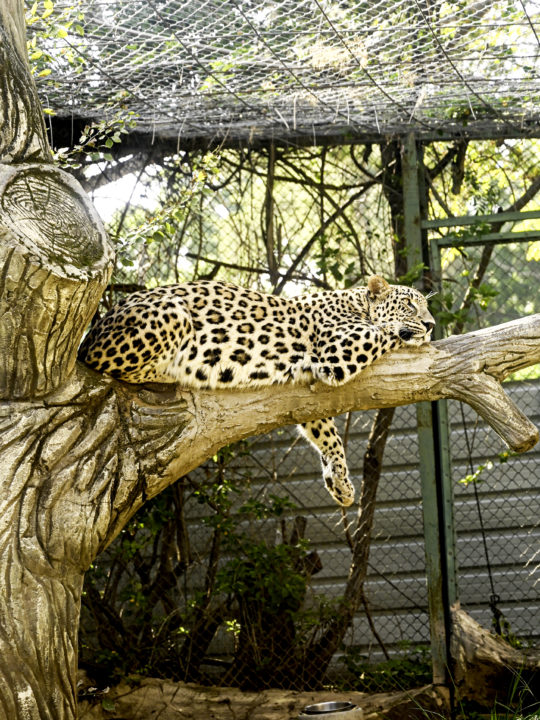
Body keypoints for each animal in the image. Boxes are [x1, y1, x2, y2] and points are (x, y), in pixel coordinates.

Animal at [79, 276, 434, 506]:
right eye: (408, 305)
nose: (430, 324)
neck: (357, 303)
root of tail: (91, 330)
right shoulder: (338, 349)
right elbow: (386, 332)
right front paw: (410, 334)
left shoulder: (313, 396)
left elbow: (326, 434)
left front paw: (340, 484)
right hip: (171, 313)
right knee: (108, 363)